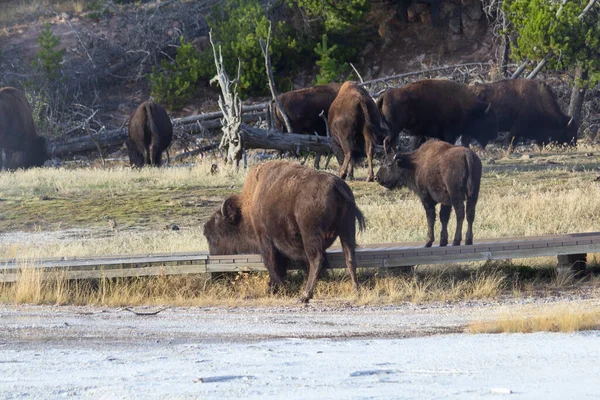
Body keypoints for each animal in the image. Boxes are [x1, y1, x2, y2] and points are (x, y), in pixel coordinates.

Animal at [203, 160, 366, 304]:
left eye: (218, 226)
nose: (205, 229)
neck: (247, 208)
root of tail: (336, 184)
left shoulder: (265, 240)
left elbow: (272, 263)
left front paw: (274, 288)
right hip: (347, 229)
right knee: (350, 257)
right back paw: (356, 291)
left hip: (311, 234)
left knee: (316, 260)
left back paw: (304, 296)